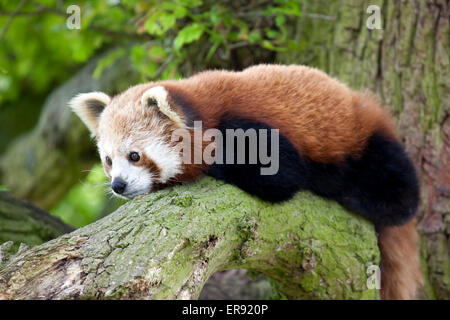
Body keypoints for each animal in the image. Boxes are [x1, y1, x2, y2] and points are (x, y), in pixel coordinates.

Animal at [69, 64, 422, 300]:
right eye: (108, 161)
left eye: (135, 156)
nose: (118, 185)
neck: (204, 110)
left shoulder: (254, 128)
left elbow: (280, 178)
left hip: (364, 141)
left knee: (399, 189)